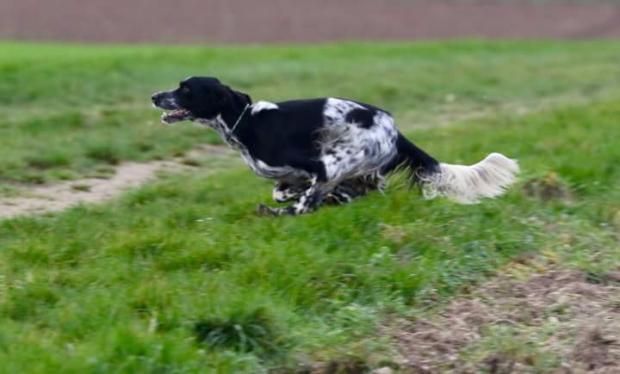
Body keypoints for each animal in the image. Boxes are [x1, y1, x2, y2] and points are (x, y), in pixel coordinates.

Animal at [153, 76, 520, 216]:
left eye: (186, 89)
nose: (155, 96)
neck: (244, 121)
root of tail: (393, 127)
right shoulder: (300, 175)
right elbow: (283, 190)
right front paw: (309, 195)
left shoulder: (317, 165)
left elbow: (300, 200)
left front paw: (298, 203)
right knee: (365, 190)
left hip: (338, 158)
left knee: (306, 206)